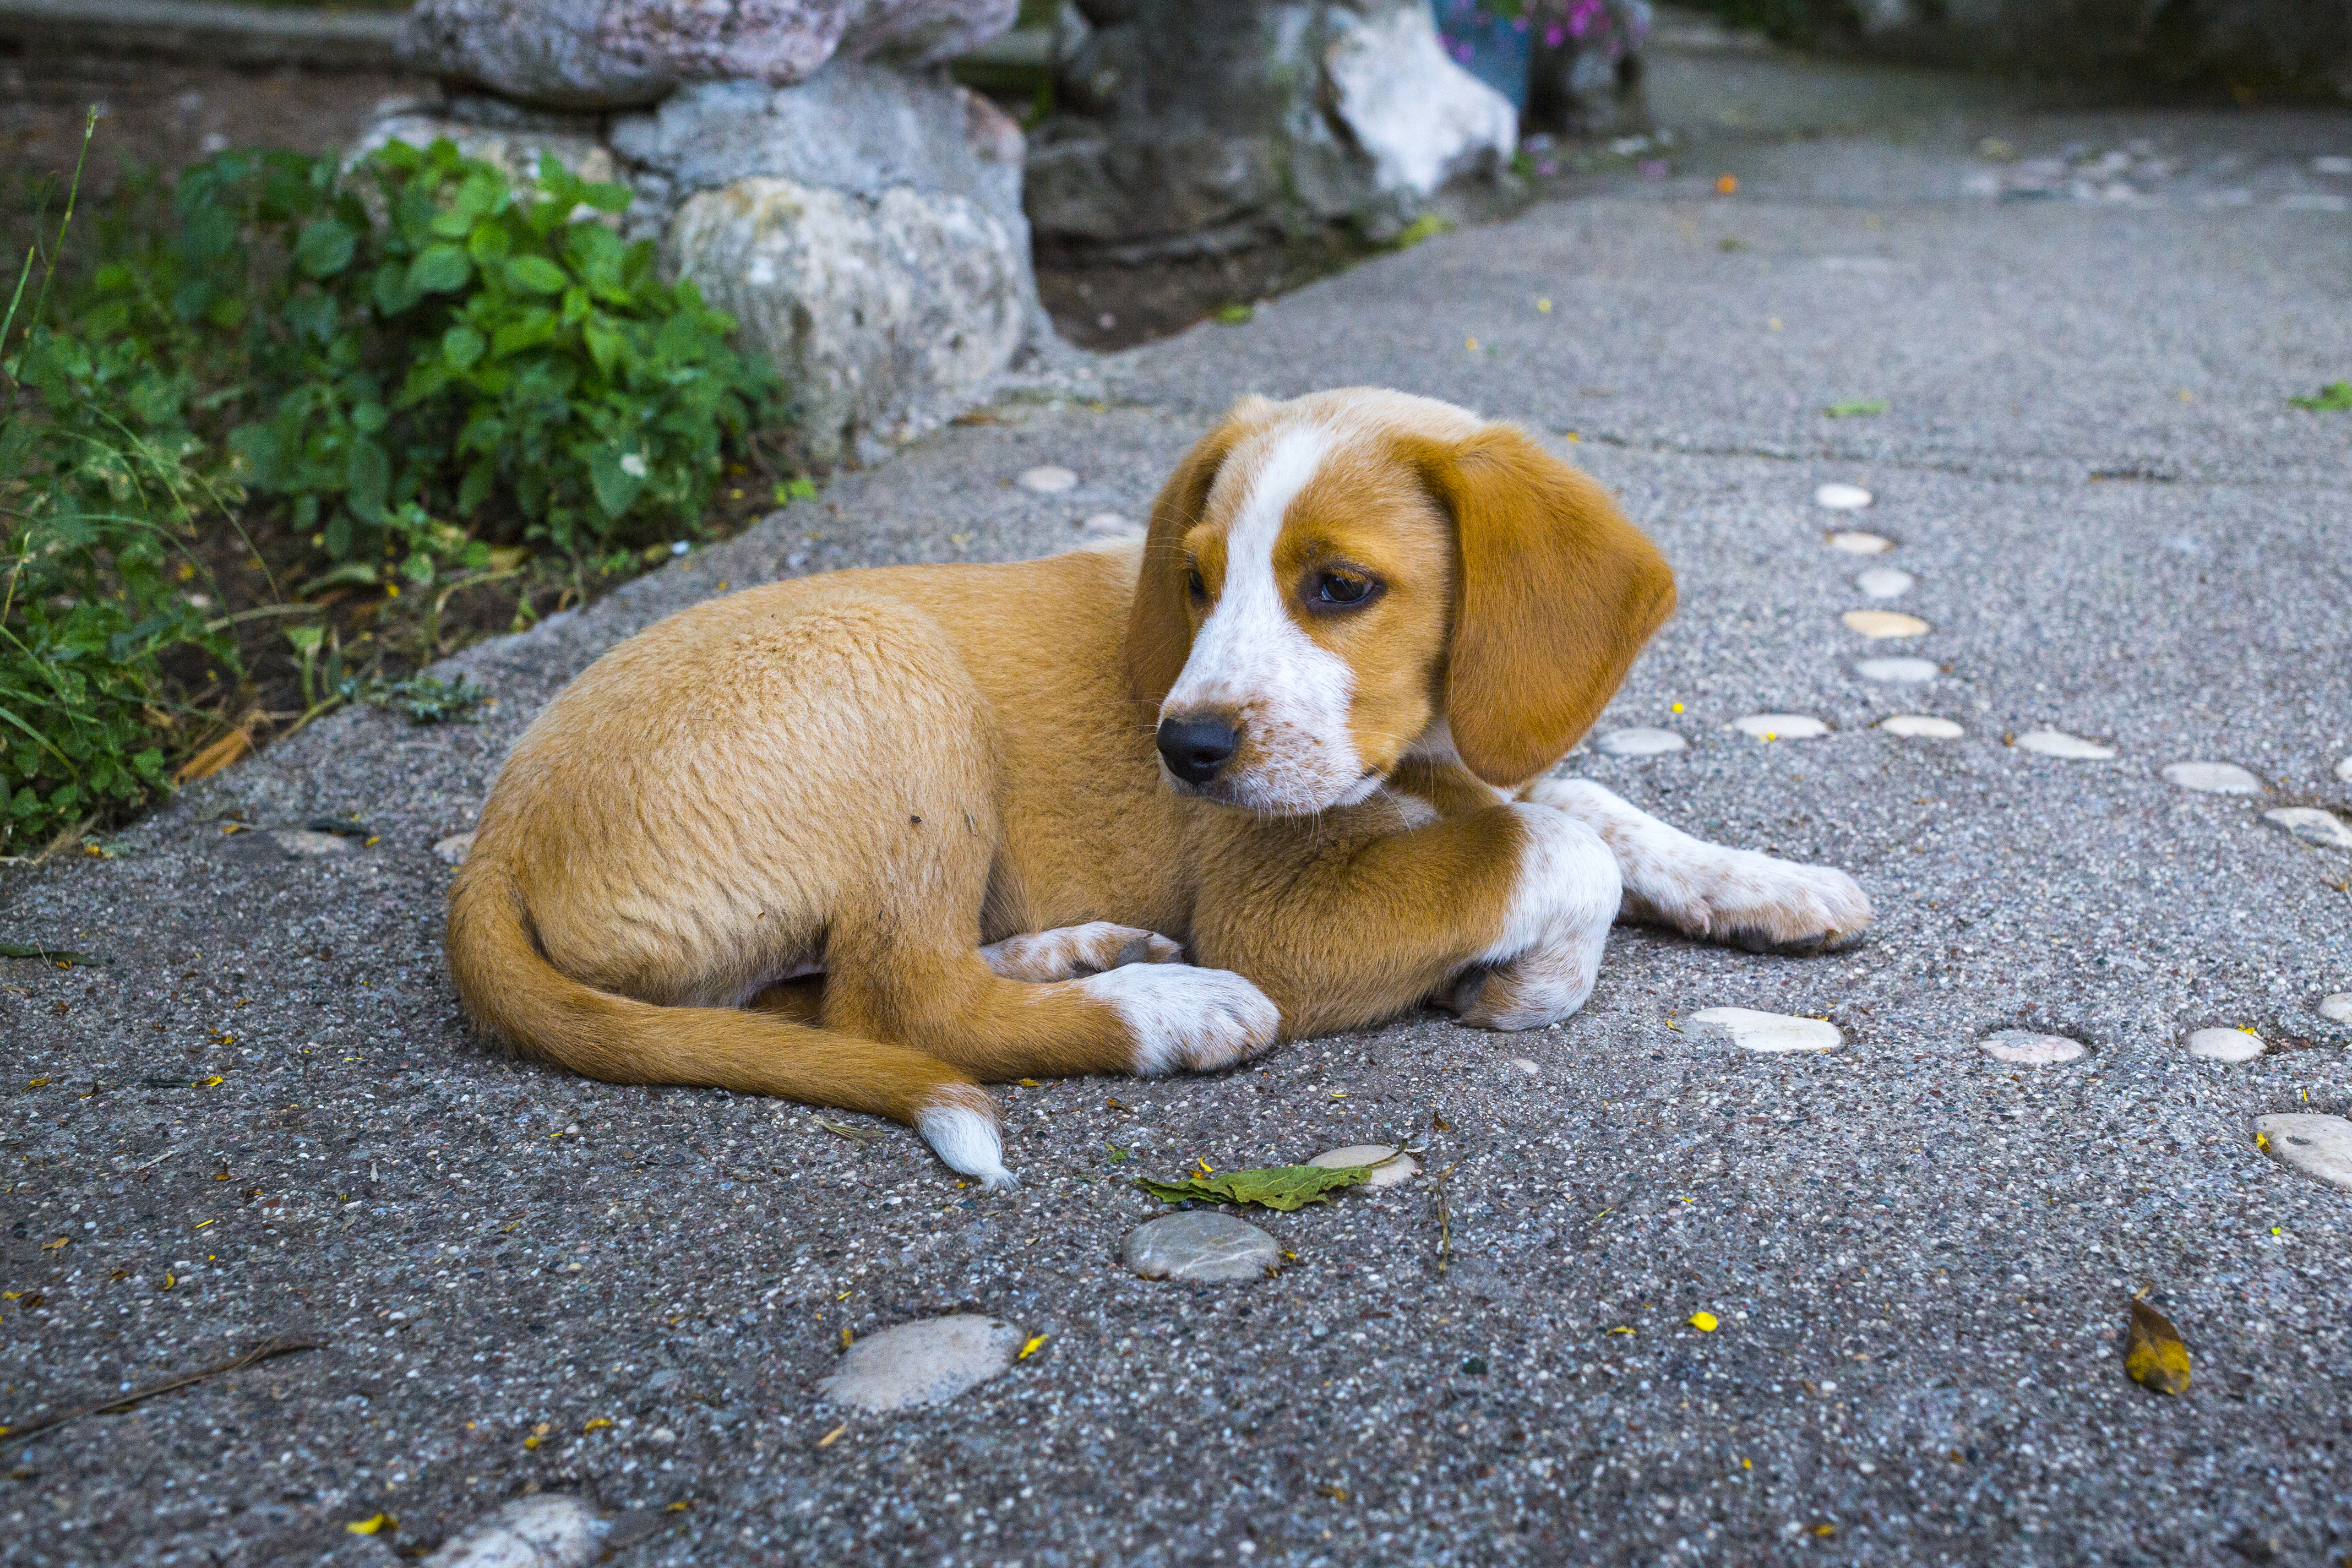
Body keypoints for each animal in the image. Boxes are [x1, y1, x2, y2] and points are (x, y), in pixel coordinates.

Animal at [449, 390, 1863, 1189]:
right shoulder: (1279, 912)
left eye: (1340, 586)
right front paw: (1533, 981)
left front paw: (1768, 883)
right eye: (1195, 579)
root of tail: (496, 833)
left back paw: (1082, 952)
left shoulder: (1472, 767)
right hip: (897, 675)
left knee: (830, 995)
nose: (1183, 749)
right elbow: (1564, 847)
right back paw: (1167, 1007)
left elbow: (1590, 809)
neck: (1421, 755)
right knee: (901, 997)